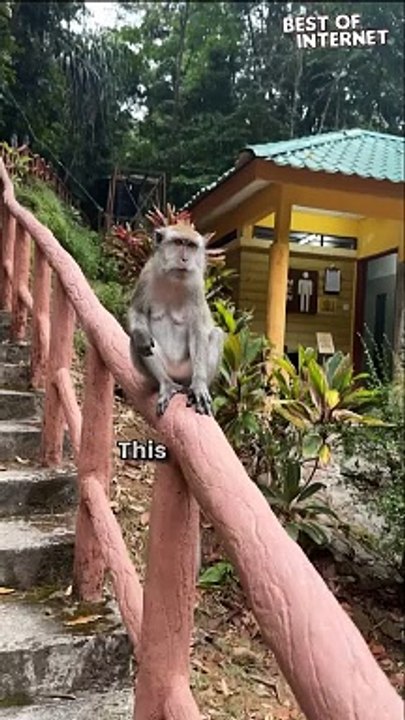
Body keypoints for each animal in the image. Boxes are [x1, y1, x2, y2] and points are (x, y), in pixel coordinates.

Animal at [127, 222, 224, 417]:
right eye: (179, 243)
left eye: (191, 246)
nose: (185, 259)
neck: (173, 278)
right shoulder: (146, 274)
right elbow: (137, 312)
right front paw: (141, 334)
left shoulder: (197, 286)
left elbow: (198, 332)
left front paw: (199, 385)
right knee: (137, 341)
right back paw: (165, 383)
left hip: (187, 371)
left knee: (216, 334)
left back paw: (192, 389)